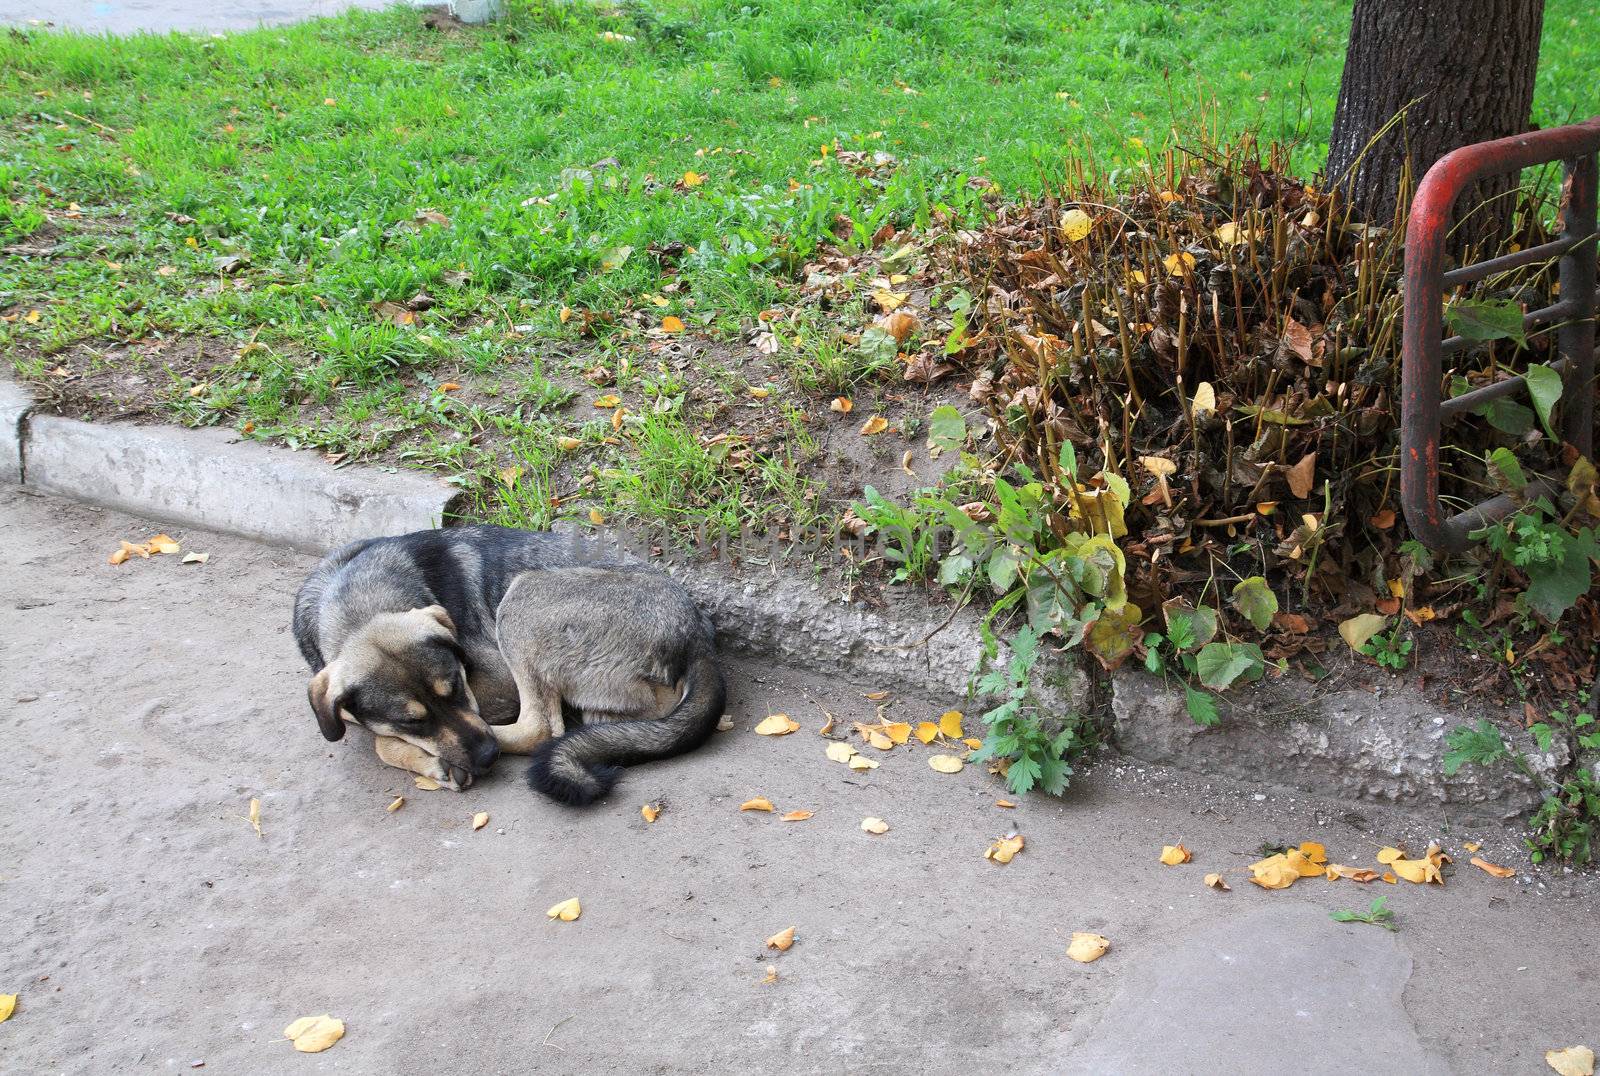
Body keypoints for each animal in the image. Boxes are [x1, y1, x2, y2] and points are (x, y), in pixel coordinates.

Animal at [294, 525, 726, 803]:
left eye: (456, 686)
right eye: (412, 721)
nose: (487, 757)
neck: (357, 604)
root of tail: (697, 636)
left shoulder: (495, 683)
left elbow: (381, 743)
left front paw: (433, 760)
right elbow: (380, 735)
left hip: (521, 599)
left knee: (540, 730)